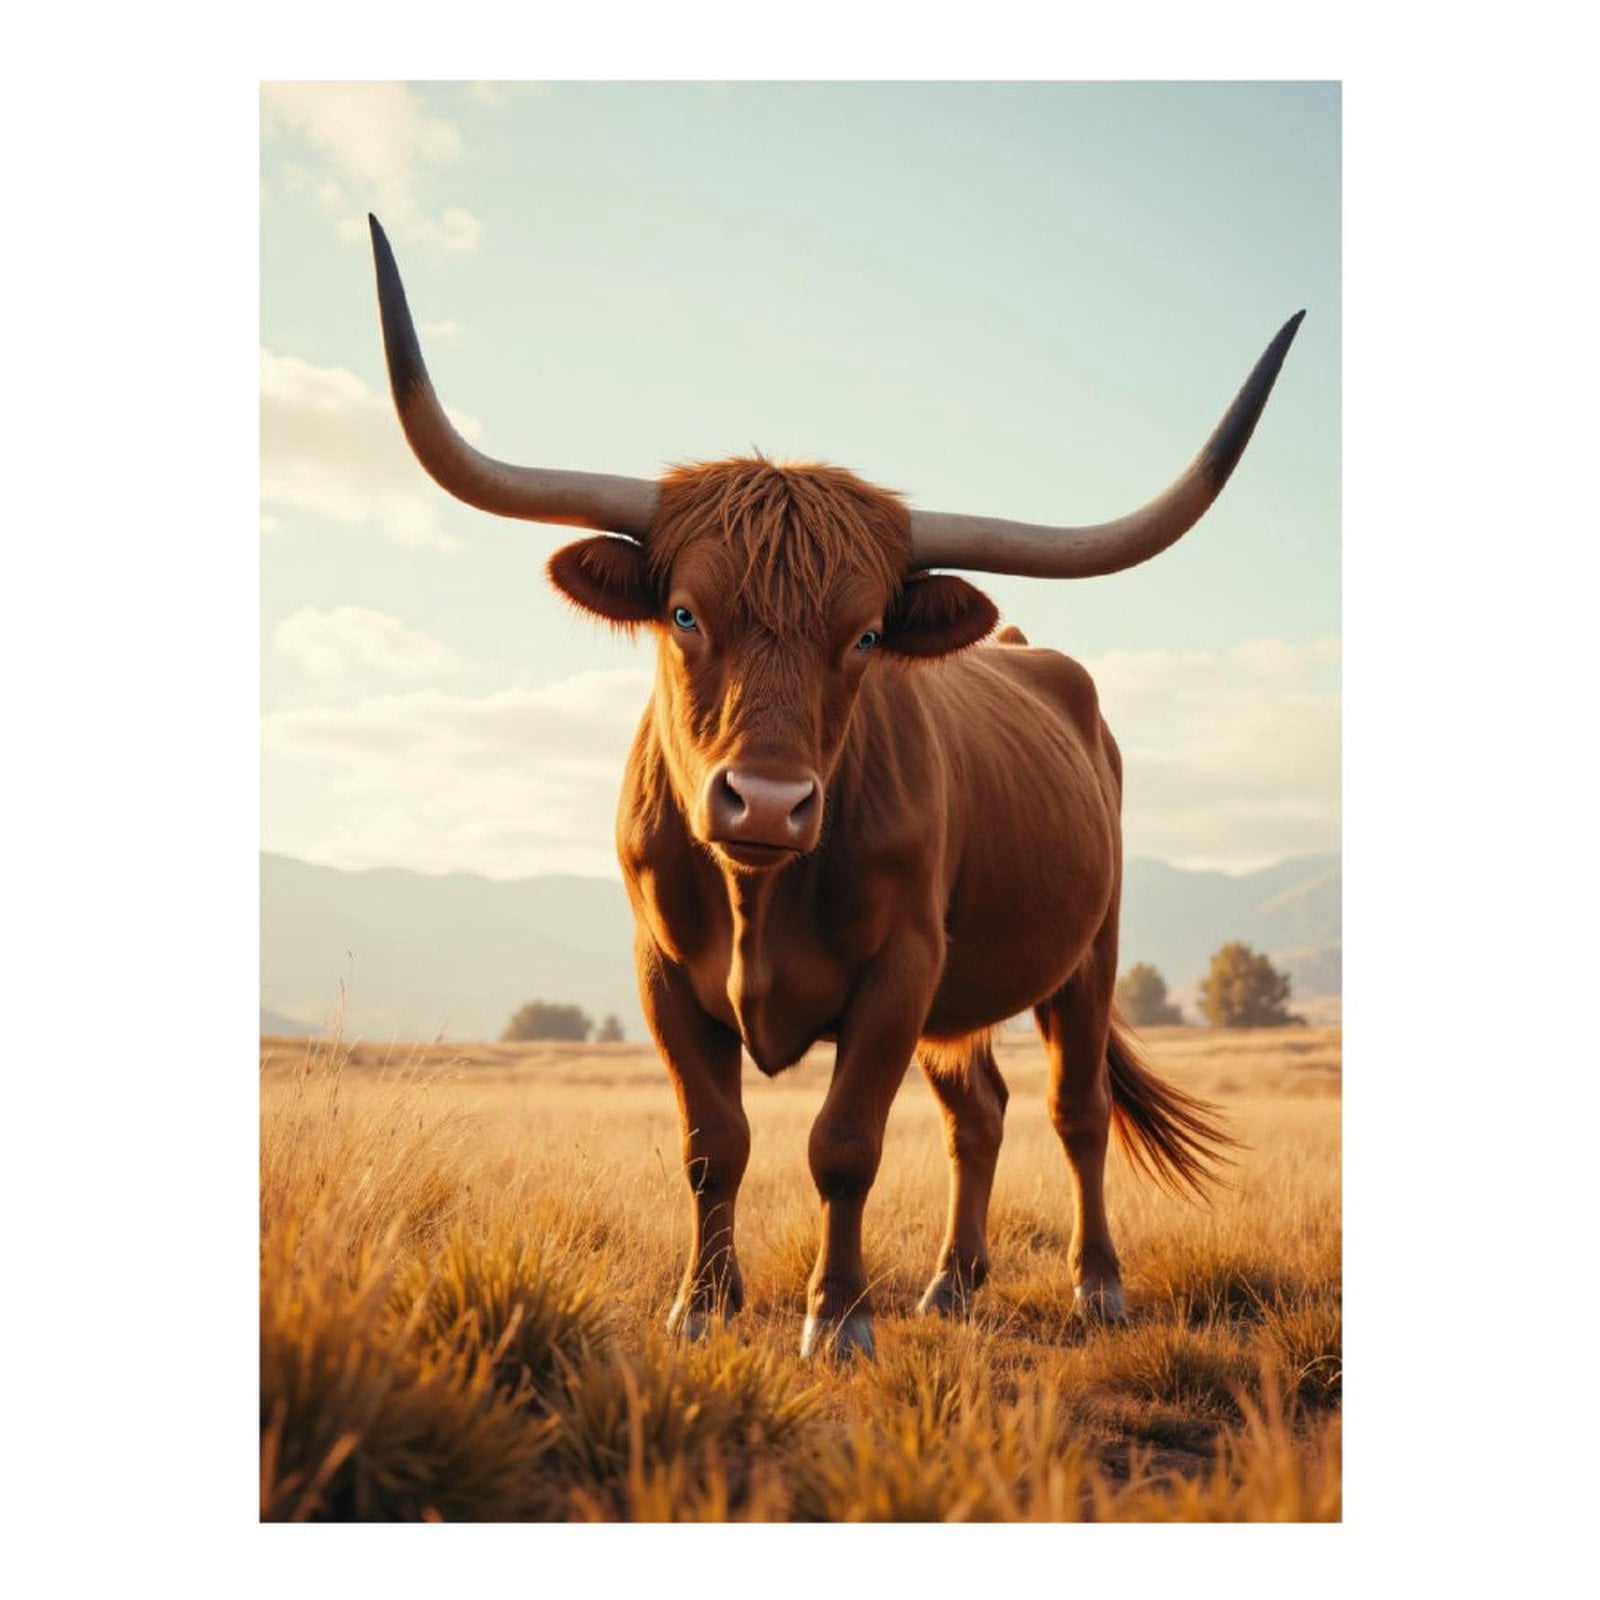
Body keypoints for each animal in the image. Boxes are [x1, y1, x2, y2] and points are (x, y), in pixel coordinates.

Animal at [367, 214, 1302, 1359]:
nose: (767, 802)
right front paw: (702, 1305)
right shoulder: (663, 970)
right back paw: (951, 1281)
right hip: (965, 994)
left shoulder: (900, 969)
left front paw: (840, 1316)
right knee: (977, 1111)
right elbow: (711, 1142)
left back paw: (1096, 1285)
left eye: (862, 635)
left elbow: (844, 1143)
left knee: (1074, 1111)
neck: (756, 894)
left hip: (1088, 954)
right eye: (684, 613)